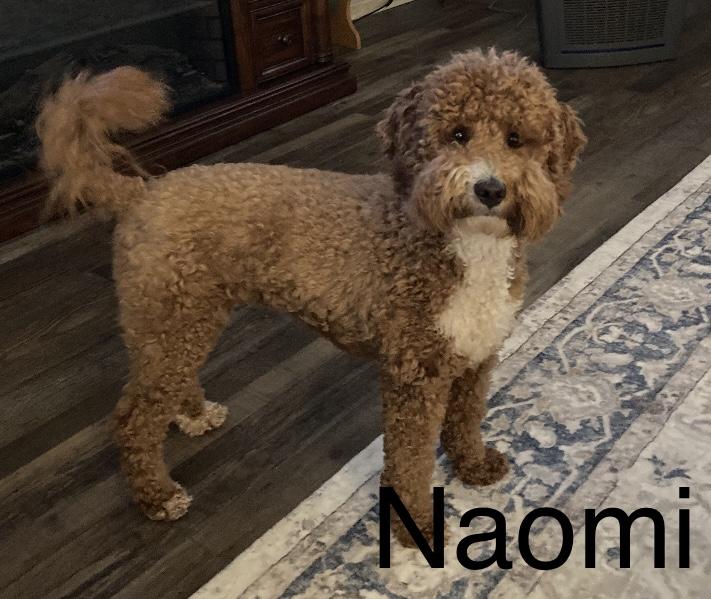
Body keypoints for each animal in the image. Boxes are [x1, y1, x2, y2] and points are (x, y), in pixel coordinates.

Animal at [36, 48, 586, 545]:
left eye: (516, 139)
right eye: (458, 134)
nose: (490, 189)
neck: (462, 244)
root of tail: (141, 192)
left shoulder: (476, 355)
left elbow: (467, 419)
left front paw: (473, 465)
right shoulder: (414, 374)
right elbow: (410, 459)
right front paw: (418, 527)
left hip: (186, 317)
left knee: (166, 387)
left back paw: (192, 413)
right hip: (171, 319)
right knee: (133, 419)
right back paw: (158, 495)